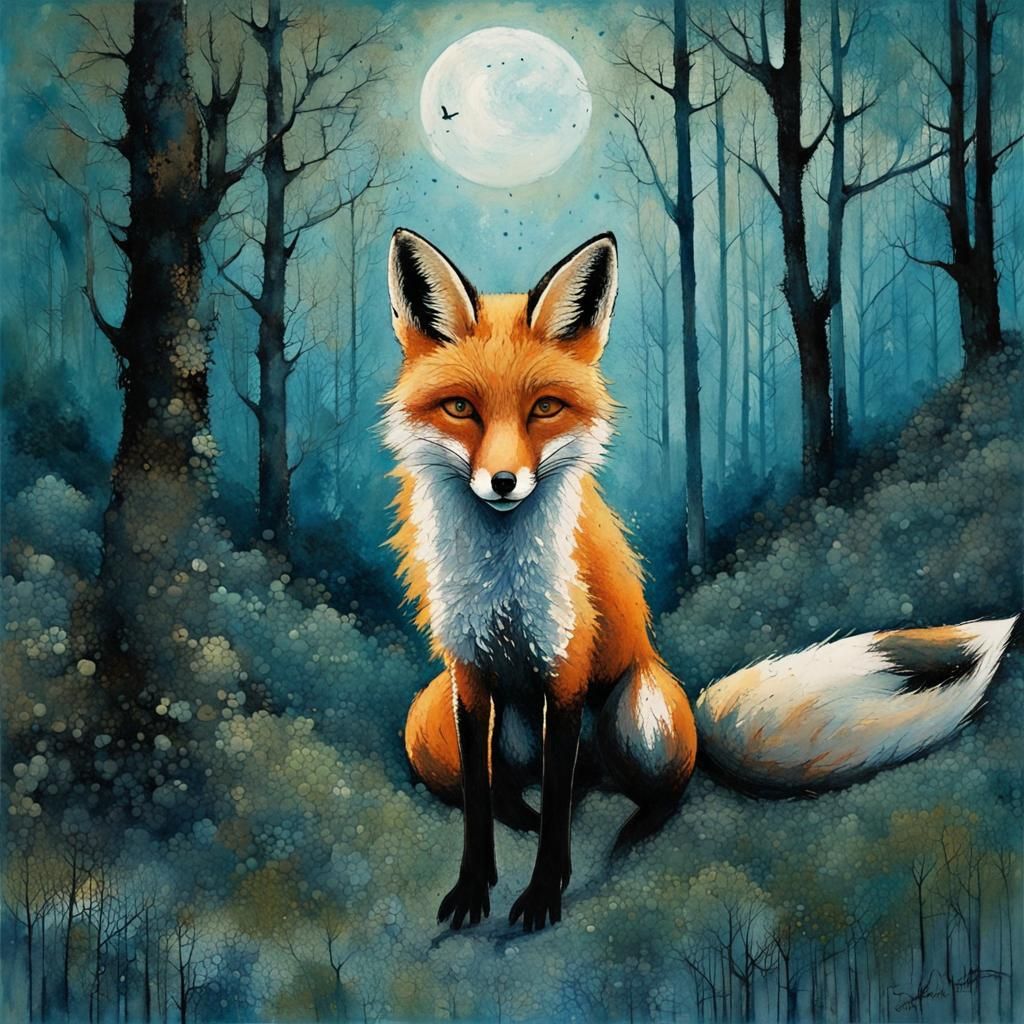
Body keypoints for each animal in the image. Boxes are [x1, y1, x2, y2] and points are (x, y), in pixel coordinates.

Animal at [383, 226, 1019, 933]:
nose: (502, 483)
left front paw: (545, 891)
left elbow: (556, 815)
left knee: (642, 791)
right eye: (459, 408)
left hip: (639, 716)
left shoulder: (567, 668)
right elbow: (476, 803)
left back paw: (629, 827)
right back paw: (526, 811)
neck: (501, 583)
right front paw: (474, 887)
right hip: (431, 722)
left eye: (544, 408)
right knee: (511, 791)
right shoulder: (467, 674)